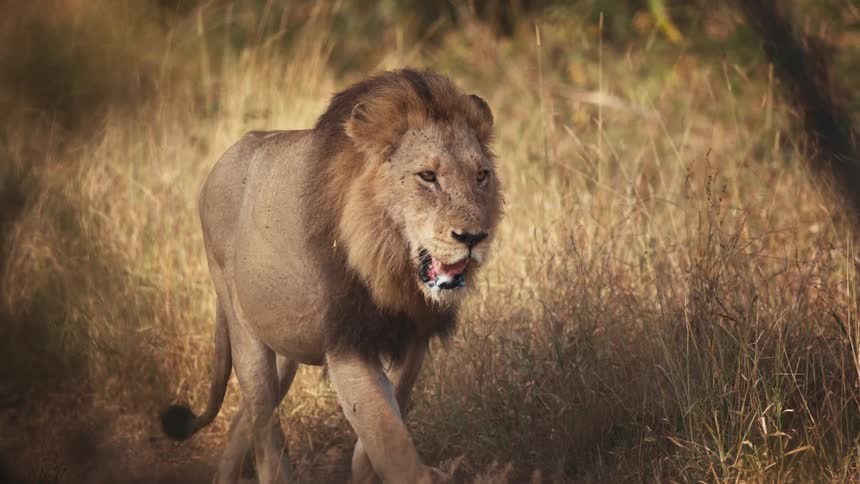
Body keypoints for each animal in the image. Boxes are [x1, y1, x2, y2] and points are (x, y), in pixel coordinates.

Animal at [160, 69, 502, 483]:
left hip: (284, 345)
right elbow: (389, 437)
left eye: (481, 176)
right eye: (427, 176)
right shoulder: (346, 343)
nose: (473, 238)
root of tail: (228, 155)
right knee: (265, 436)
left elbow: (381, 430)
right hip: (243, 328)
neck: (388, 265)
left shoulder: (412, 339)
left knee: (242, 425)